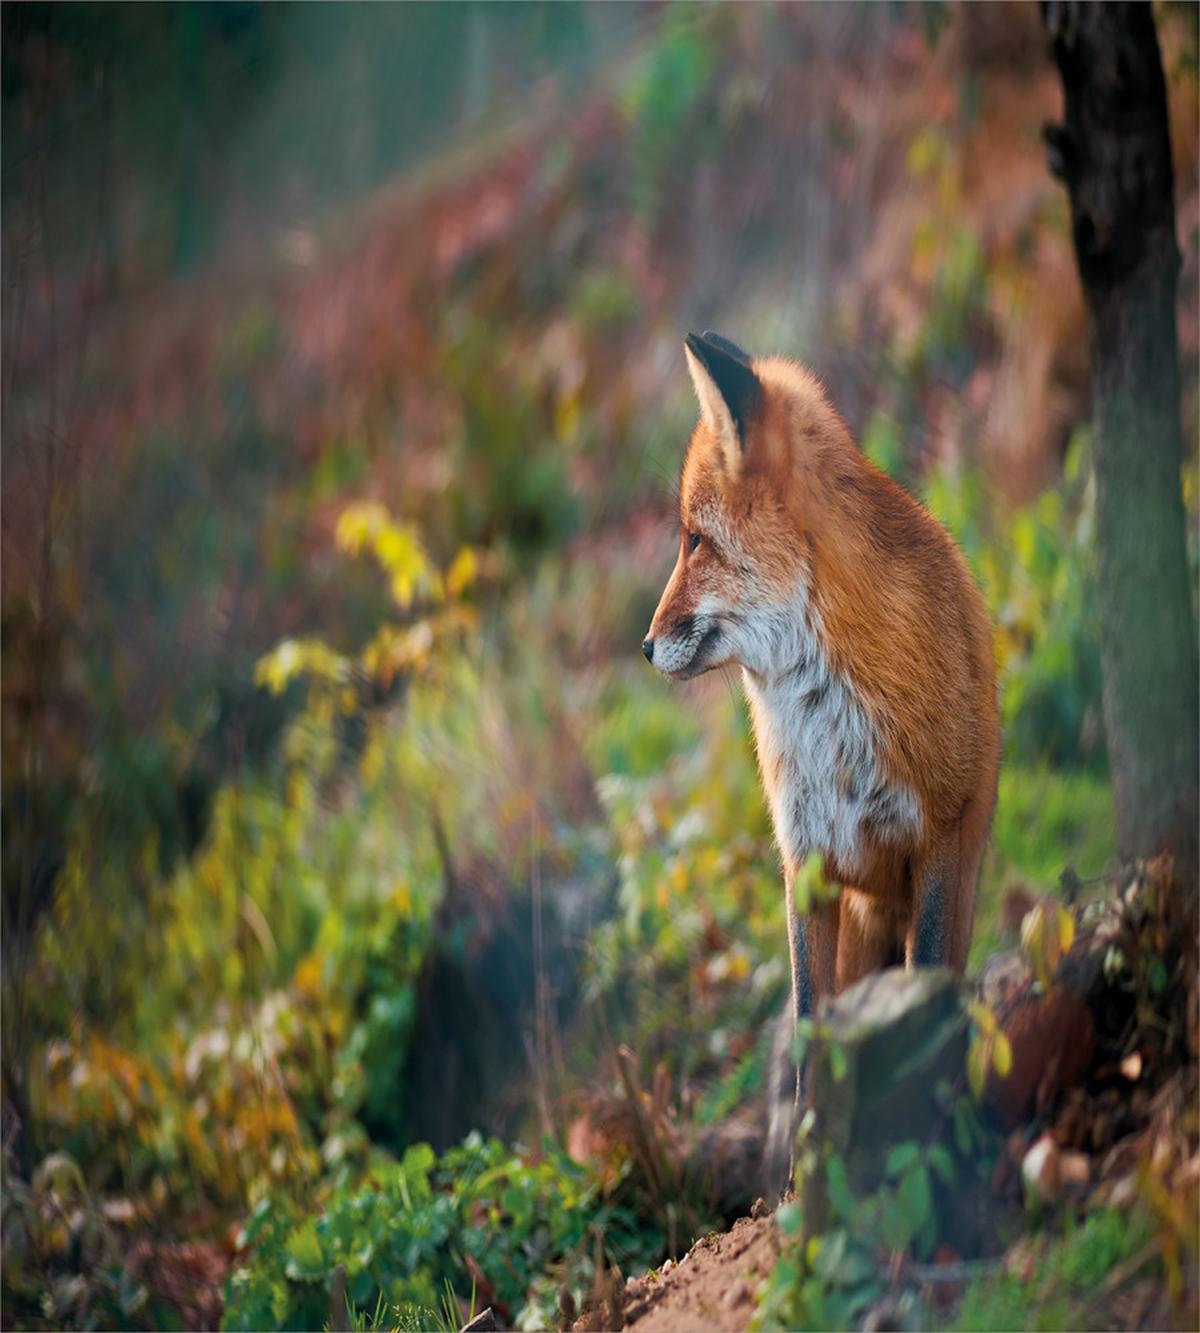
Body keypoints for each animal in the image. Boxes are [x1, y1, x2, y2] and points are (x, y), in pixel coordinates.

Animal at [643, 331, 1000, 1188]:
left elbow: (927, 980)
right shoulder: (805, 863)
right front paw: (803, 1179)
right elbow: (809, 1030)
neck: (824, 713)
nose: (642, 644)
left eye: (694, 540)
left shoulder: (940, 836)